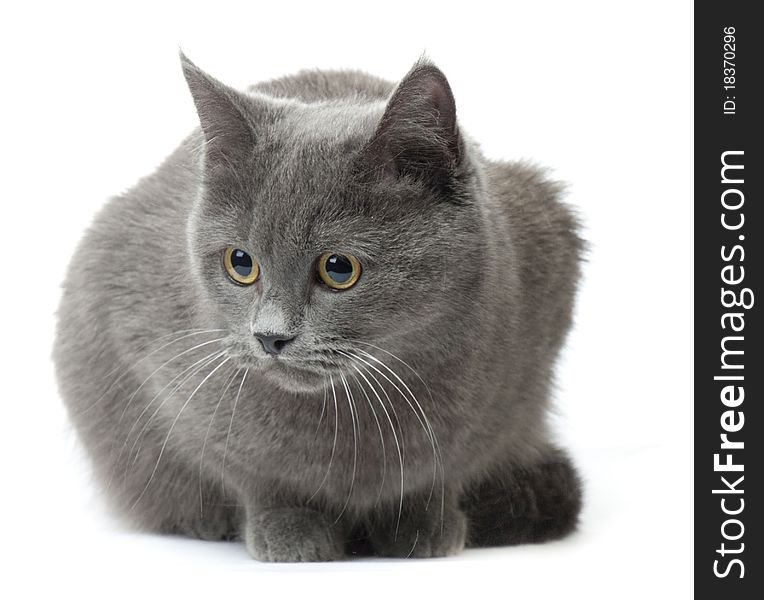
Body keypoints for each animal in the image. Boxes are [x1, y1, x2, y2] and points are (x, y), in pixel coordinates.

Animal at [53, 52, 584, 564]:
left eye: (339, 268)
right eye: (240, 263)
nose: (270, 336)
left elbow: (441, 472)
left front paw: (422, 525)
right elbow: (255, 476)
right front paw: (291, 530)